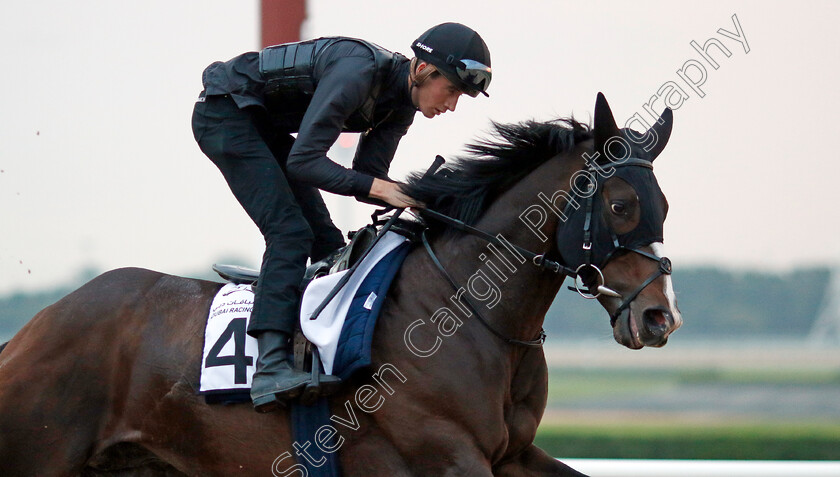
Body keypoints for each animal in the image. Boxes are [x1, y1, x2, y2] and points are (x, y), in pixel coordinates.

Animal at [0, 94, 676, 476]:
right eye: (620, 205)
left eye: (663, 204)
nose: (659, 317)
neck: (466, 311)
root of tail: (32, 330)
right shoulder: (444, 455)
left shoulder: (512, 455)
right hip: (39, 451)